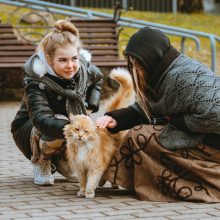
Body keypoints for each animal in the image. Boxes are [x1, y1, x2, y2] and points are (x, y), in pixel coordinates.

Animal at [63, 68, 134, 199]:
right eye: (77, 129)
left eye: (86, 131)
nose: (80, 136)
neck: (83, 147)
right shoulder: (80, 168)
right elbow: (83, 182)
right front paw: (82, 192)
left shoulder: (94, 167)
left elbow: (91, 182)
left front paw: (89, 194)